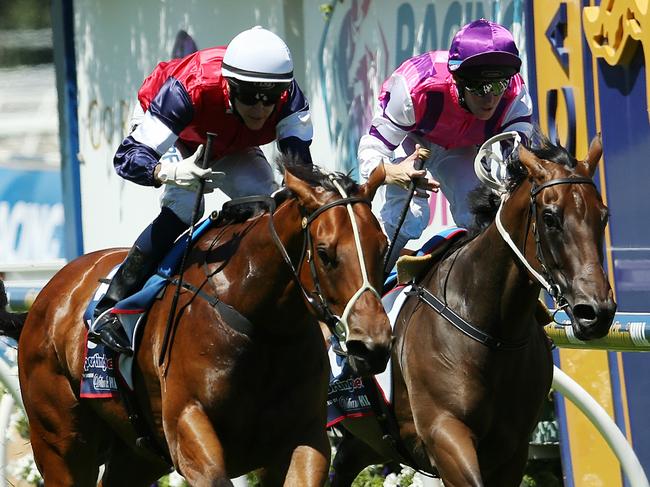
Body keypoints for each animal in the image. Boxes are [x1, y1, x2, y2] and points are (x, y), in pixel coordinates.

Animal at [0, 158, 392, 486]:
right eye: (325, 254)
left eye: (384, 246)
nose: (371, 346)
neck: (262, 326)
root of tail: (46, 298)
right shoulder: (188, 429)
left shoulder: (304, 439)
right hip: (61, 444)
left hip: (138, 455)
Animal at [332, 134, 616, 487]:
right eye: (550, 217)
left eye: (603, 216)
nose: (596, 311)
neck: (492, 328)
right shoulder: (444, 433)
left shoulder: (512, 449)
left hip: (365, 442)